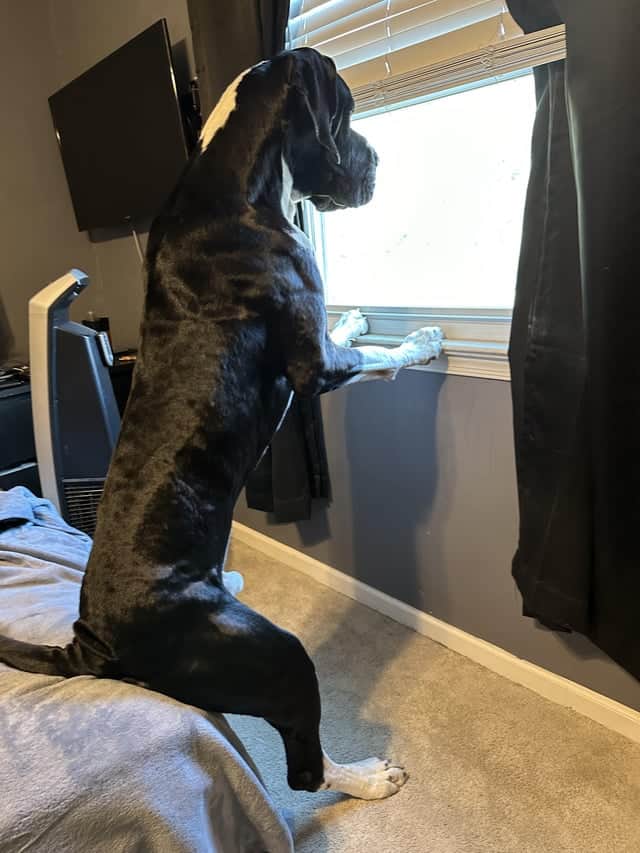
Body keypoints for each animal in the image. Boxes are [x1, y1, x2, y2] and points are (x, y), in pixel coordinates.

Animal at [0, 48, 440, 800]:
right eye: (347, 109)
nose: (378, 161)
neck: (236, 182)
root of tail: (91, 643)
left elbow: (347, 332)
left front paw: (356, 315)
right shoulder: (313, 368)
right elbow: (377, 359)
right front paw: (422, 342)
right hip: (275, 651)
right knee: (303, 771)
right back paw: (367, 777)